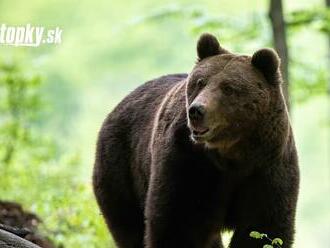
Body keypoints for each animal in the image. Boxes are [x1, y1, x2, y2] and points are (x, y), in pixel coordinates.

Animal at [92, 33, 300, 248]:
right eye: (201, 82)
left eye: (229, 88)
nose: (196, 111)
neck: (232, 152)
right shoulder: (188, 162)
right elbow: (180, 221)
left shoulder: (267, 166)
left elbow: (262, 226)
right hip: (121, 165)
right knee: (128, 224)